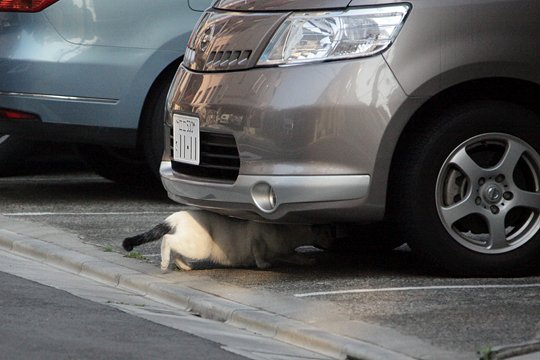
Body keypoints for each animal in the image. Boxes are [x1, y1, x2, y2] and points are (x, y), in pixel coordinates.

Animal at [122, 210, 334, 272]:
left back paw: (185, 267)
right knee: (167, 240)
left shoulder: (284, 250)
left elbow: (295, 255)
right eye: (326, 233)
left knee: (176, 250)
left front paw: (308, 260)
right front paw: (263, 265)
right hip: (201, 246)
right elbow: (260, 253)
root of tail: (177, 215)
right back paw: (166, 264)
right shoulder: (258, 238)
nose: (332, 242)